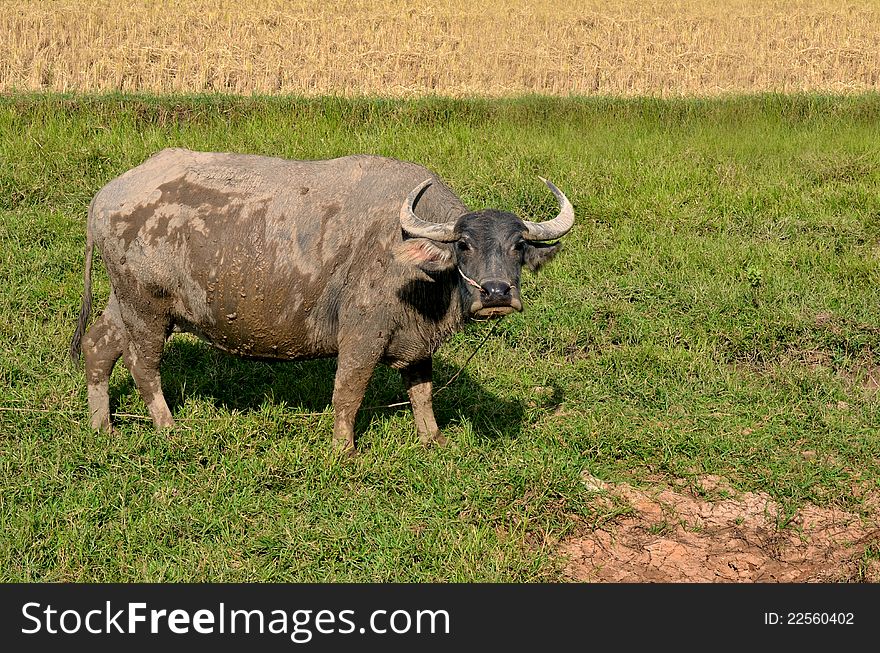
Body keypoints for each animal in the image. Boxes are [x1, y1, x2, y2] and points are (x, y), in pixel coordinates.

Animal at [70, 148, 576, 450]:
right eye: (464, 245)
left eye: (518, 246)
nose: (497, 293)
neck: (415, 265)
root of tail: (104, 198)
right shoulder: (362, 334)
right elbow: (347, 393)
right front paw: (344, 450)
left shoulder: (416, 341)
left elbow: (422, 393)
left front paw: (433, 440)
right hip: (147, 310)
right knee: (143, 366)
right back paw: (168, 427)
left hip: (122, 303)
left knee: (98, 347)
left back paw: (102, 426)